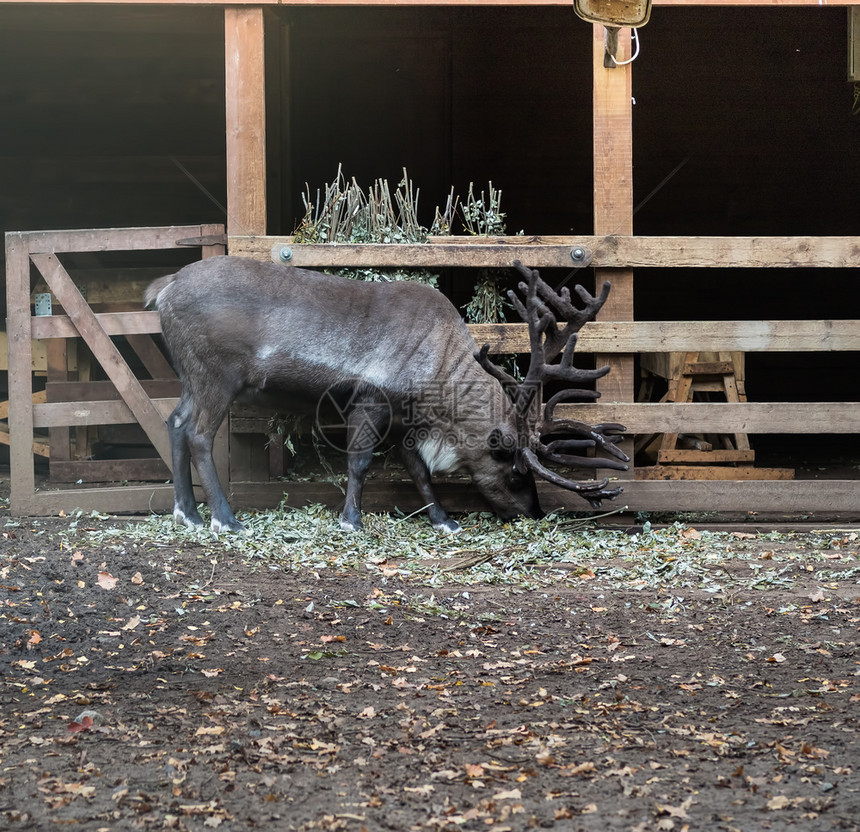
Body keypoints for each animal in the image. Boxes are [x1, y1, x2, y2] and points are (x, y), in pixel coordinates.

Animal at [144, 255, 628, 532]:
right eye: (513, 472)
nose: (534, 513)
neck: (440, 369)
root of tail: (163, 288)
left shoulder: (403, 418)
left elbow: (419, 471)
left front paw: (444, 521)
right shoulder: (371, 399)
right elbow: (359, 465)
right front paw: (351, 521)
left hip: (193, 376)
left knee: (175, 421)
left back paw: (187, 513)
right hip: (217, 375)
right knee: (199, 434)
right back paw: (224, 520)